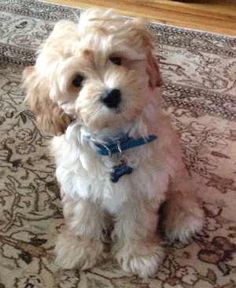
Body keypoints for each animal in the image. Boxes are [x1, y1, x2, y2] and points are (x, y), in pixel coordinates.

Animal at [22, 10, 203, 278]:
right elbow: (82, 219)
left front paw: (139, 255)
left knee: (181, 191)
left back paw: (183, 218)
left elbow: (137, 224)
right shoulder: (79, 184)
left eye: (116, 59)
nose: (111, 95)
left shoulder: (143, 184)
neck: (114, 142)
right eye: (77, 81)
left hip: (173, 163)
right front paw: (79, 248)